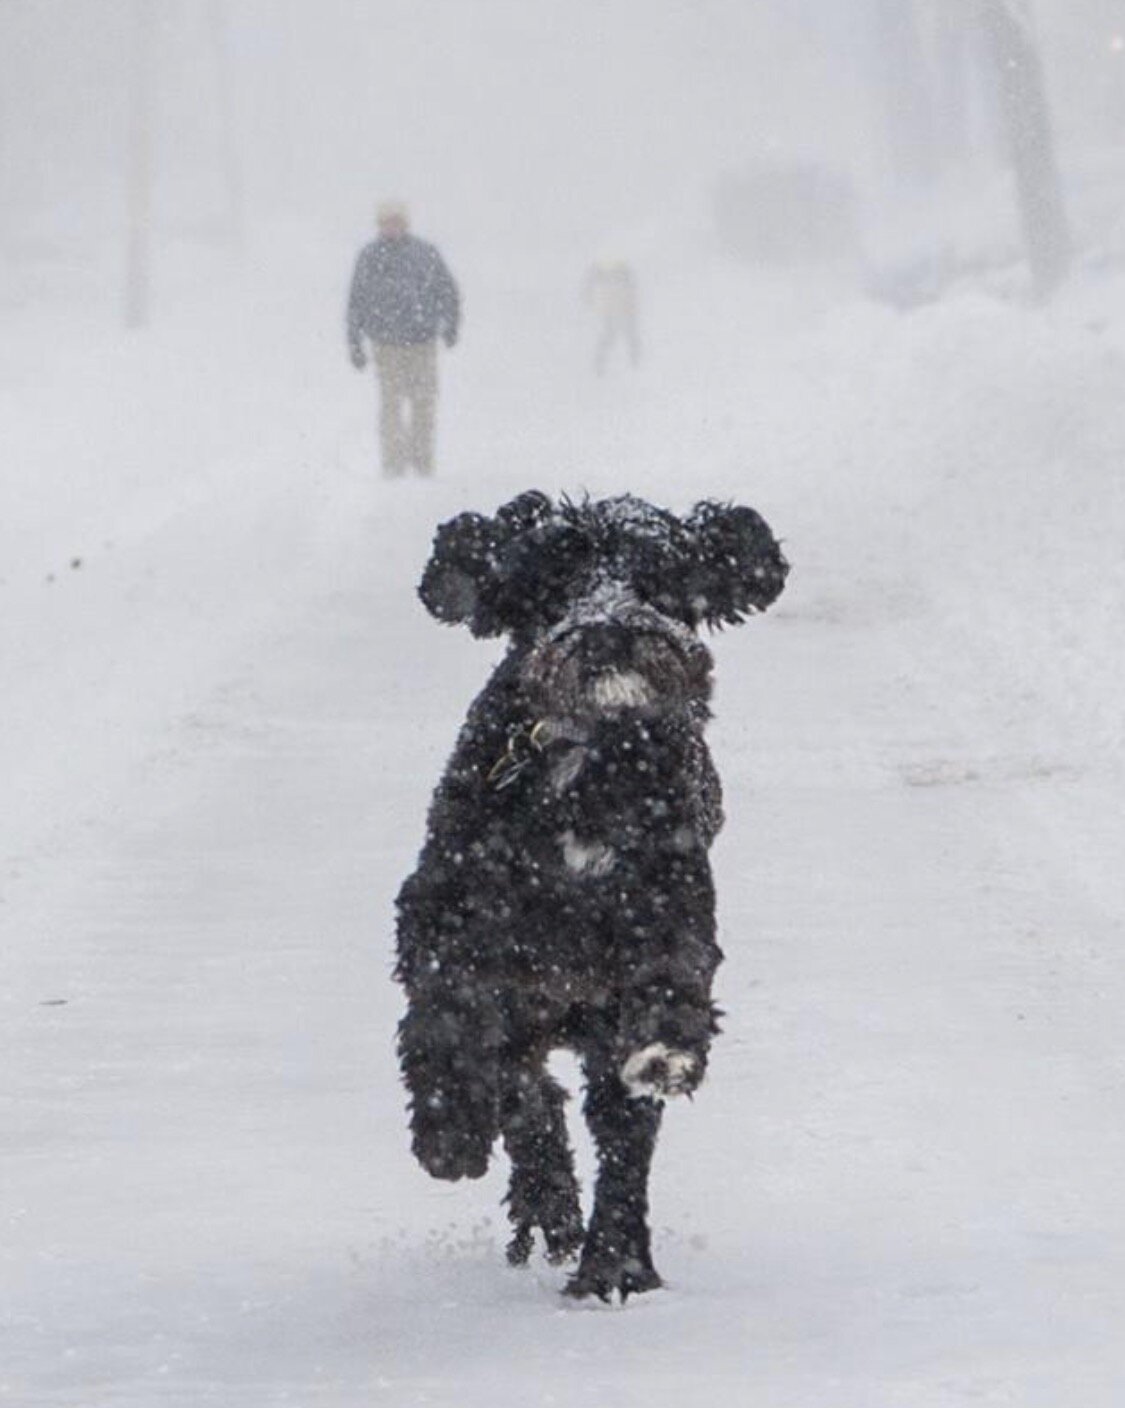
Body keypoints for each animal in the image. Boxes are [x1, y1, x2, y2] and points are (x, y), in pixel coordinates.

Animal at [397, 492, 794, 1295]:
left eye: (659, 573)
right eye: (555, 572)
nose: (609, 628)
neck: (586, 766)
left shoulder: (667, 918)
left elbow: (647, 1058)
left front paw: (615, 1263)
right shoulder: (439, 913)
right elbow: (446, 1012)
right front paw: (449, 1130)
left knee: (599, 1119)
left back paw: (603, 1248)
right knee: (527, 1095)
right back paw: (544, 1201)